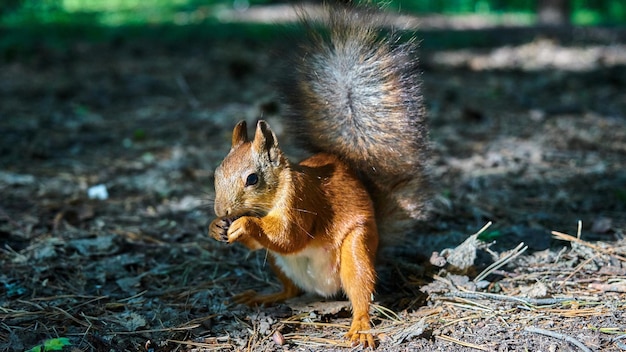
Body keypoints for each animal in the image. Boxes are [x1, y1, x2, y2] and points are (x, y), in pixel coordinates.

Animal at [207, 4, 426, 348]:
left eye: (252, 178)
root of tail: (324, 289)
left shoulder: (302, 199)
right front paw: (216, 227)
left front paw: (245, 224)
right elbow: (266, 243)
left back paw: (360, 326)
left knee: (361, 290)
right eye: (216, 173)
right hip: (279, 265)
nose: (222, 210)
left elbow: (289, 236)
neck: (270, 200)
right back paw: (264, 296)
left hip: (357, 250)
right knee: (291, 289)